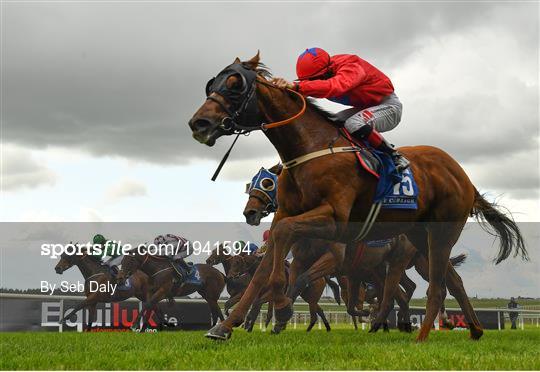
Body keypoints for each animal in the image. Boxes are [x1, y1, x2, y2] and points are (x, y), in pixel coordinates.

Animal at [188, 53, 524, 342]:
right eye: (212, 84)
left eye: (235, 85)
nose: (198, 123)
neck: (310, 148)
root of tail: (463, 175)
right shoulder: (290, 217)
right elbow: (262, 271)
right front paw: (226, 326)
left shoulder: (335, 221)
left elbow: (285, 250)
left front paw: (281, 307)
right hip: (420, 236)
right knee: (451, 282)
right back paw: (474, 330)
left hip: (439, 235)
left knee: (434, 288)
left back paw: (419, 335)